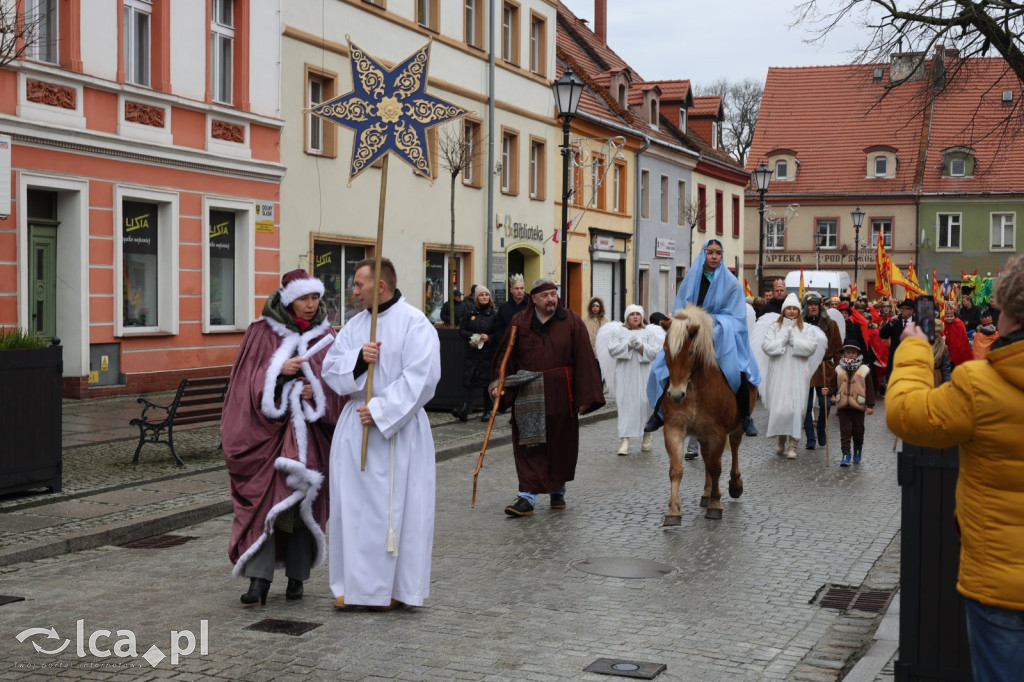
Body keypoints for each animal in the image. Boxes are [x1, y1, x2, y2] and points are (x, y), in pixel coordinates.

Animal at [659, 305, 757, 522]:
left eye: (691, 352)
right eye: (665, 350)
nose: (675, 395)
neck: (694, 387)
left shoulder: (717, 432)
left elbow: (715, 467)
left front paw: (715, 503)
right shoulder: (674, 428)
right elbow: (676, 469)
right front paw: (673, 510)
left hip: (737, 426)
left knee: (734, 448)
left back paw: (734, 484)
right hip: (702, 434)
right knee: (706, 457)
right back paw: (705, 493)